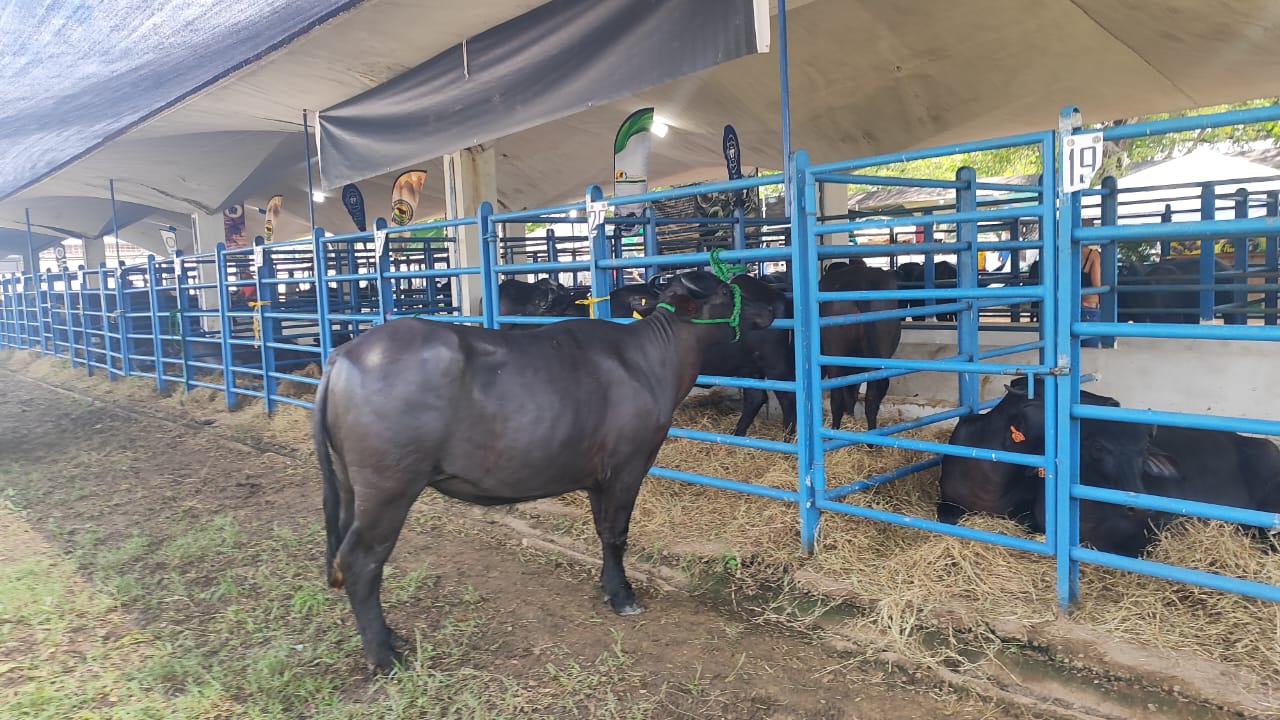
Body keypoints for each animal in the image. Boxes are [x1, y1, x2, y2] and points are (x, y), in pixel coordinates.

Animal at [314, 270, 773, 671]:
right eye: (726, 290)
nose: (770, 306)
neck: (650, 359)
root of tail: (343, 355)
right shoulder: (628, 466)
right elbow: (618, 534)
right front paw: (624, 595)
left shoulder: (598, 477)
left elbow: (602, 532)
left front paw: (608, 587)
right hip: (388, 489)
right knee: (361, 561)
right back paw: (384, 655)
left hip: (351, 487)